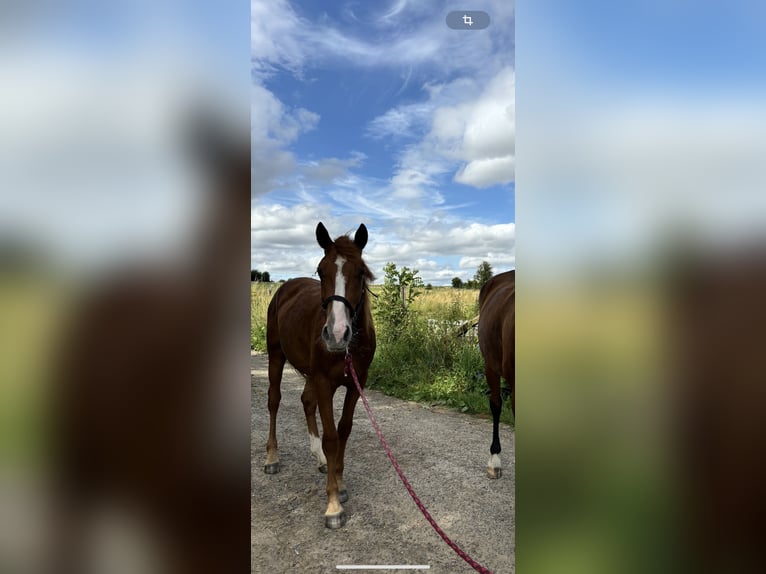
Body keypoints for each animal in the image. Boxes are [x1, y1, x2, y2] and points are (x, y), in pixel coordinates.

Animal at [262, 222, 376, 532]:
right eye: (321, 270)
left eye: (360, 272)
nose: (336, 334)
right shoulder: (325, 382)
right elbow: (331, 436)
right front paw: (333, 505)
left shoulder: (356, 383)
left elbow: (344, 429)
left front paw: (339, 480)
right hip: (276, 356)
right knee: (274, 401)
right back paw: (272, 457)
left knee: (305, 401)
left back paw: (321, 460)